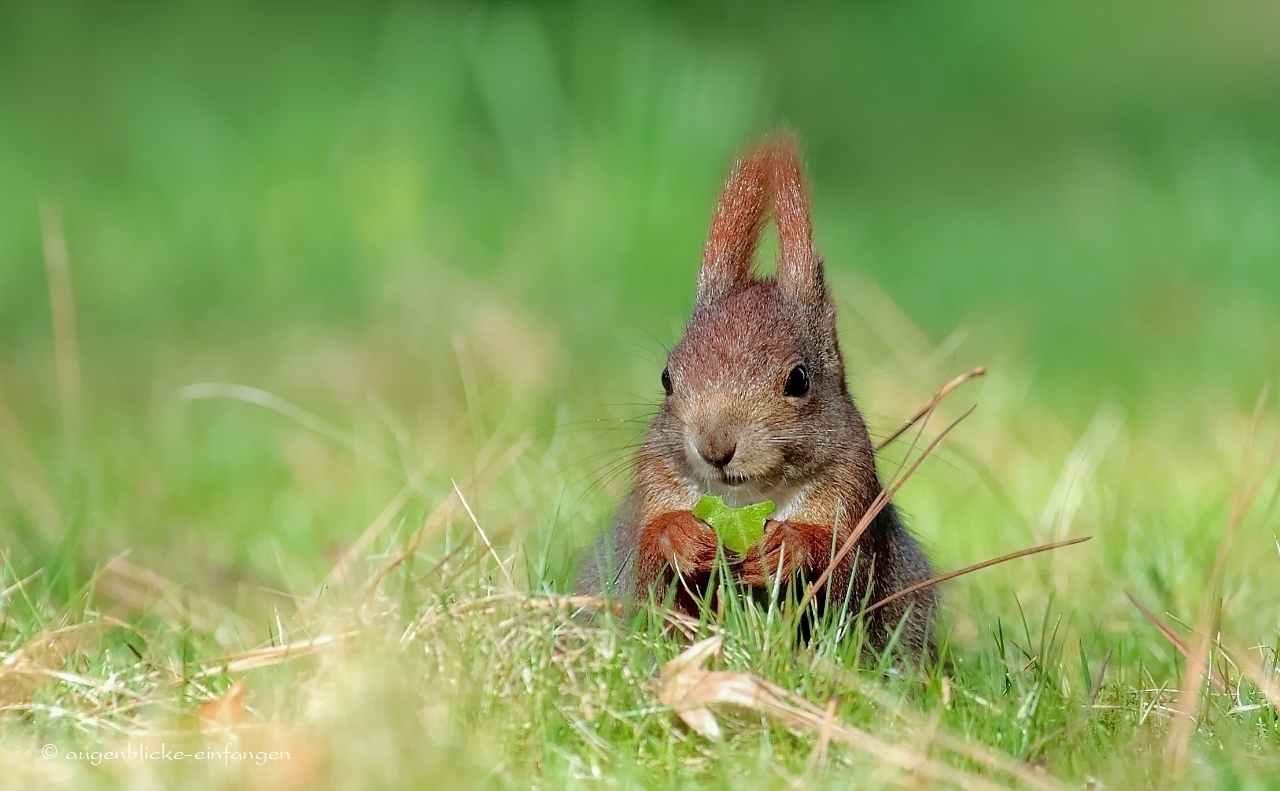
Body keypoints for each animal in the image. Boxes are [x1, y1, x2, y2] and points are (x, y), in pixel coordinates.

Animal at [576, 131, 936, 660]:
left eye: (799, 380)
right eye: (667, 377)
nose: (715, 447)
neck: (747, 497)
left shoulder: (854, 504)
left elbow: (843, 579)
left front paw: (784, 549)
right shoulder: (654, 486)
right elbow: (647, 581)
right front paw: (681, 538)